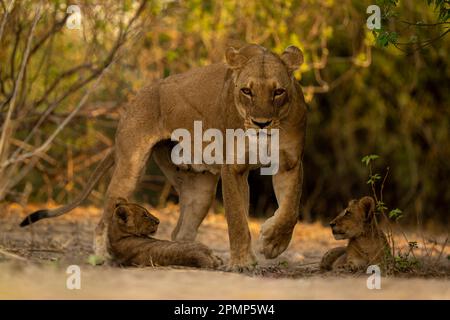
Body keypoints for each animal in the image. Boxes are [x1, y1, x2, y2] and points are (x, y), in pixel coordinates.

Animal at [22, 44, 310, 270]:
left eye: (278, 92)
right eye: (246, 91)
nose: (261, 123)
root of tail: (136, 97)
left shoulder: (290, 162)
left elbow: (291, 209)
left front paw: (273, 243)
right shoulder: (233, 167)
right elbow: (237, 218)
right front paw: (242, 262)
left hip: (199, 190)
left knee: (180, 231)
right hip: (131, 164)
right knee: (105, 216)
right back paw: (102, 256)